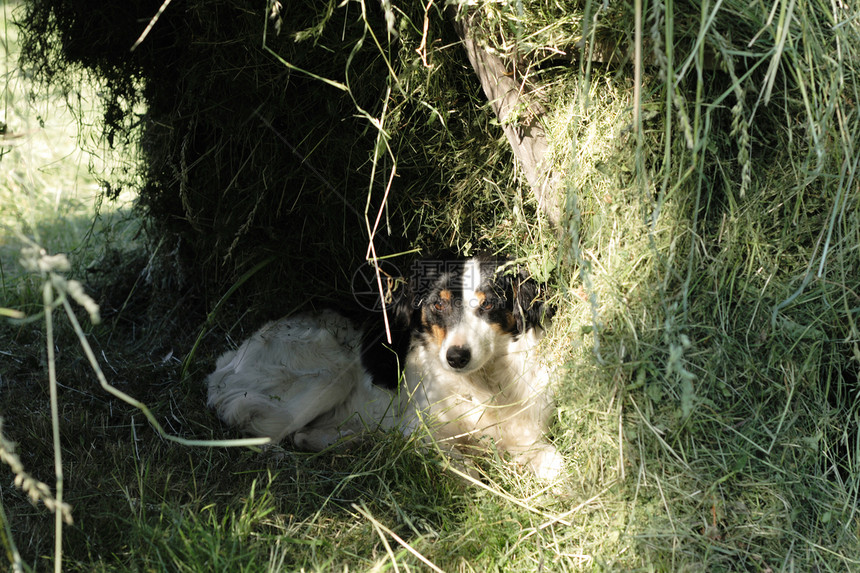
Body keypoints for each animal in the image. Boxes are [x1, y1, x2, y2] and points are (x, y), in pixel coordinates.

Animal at [204, 254, 560, 478]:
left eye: (488, 305)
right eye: (438, 305)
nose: (456, 357)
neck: (483, 382)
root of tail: (226, 363)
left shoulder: (528, 431)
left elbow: (554, 462)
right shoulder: (420, 432)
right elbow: (467, 470)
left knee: (303, 435)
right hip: (328, 376)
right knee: (266, 433)